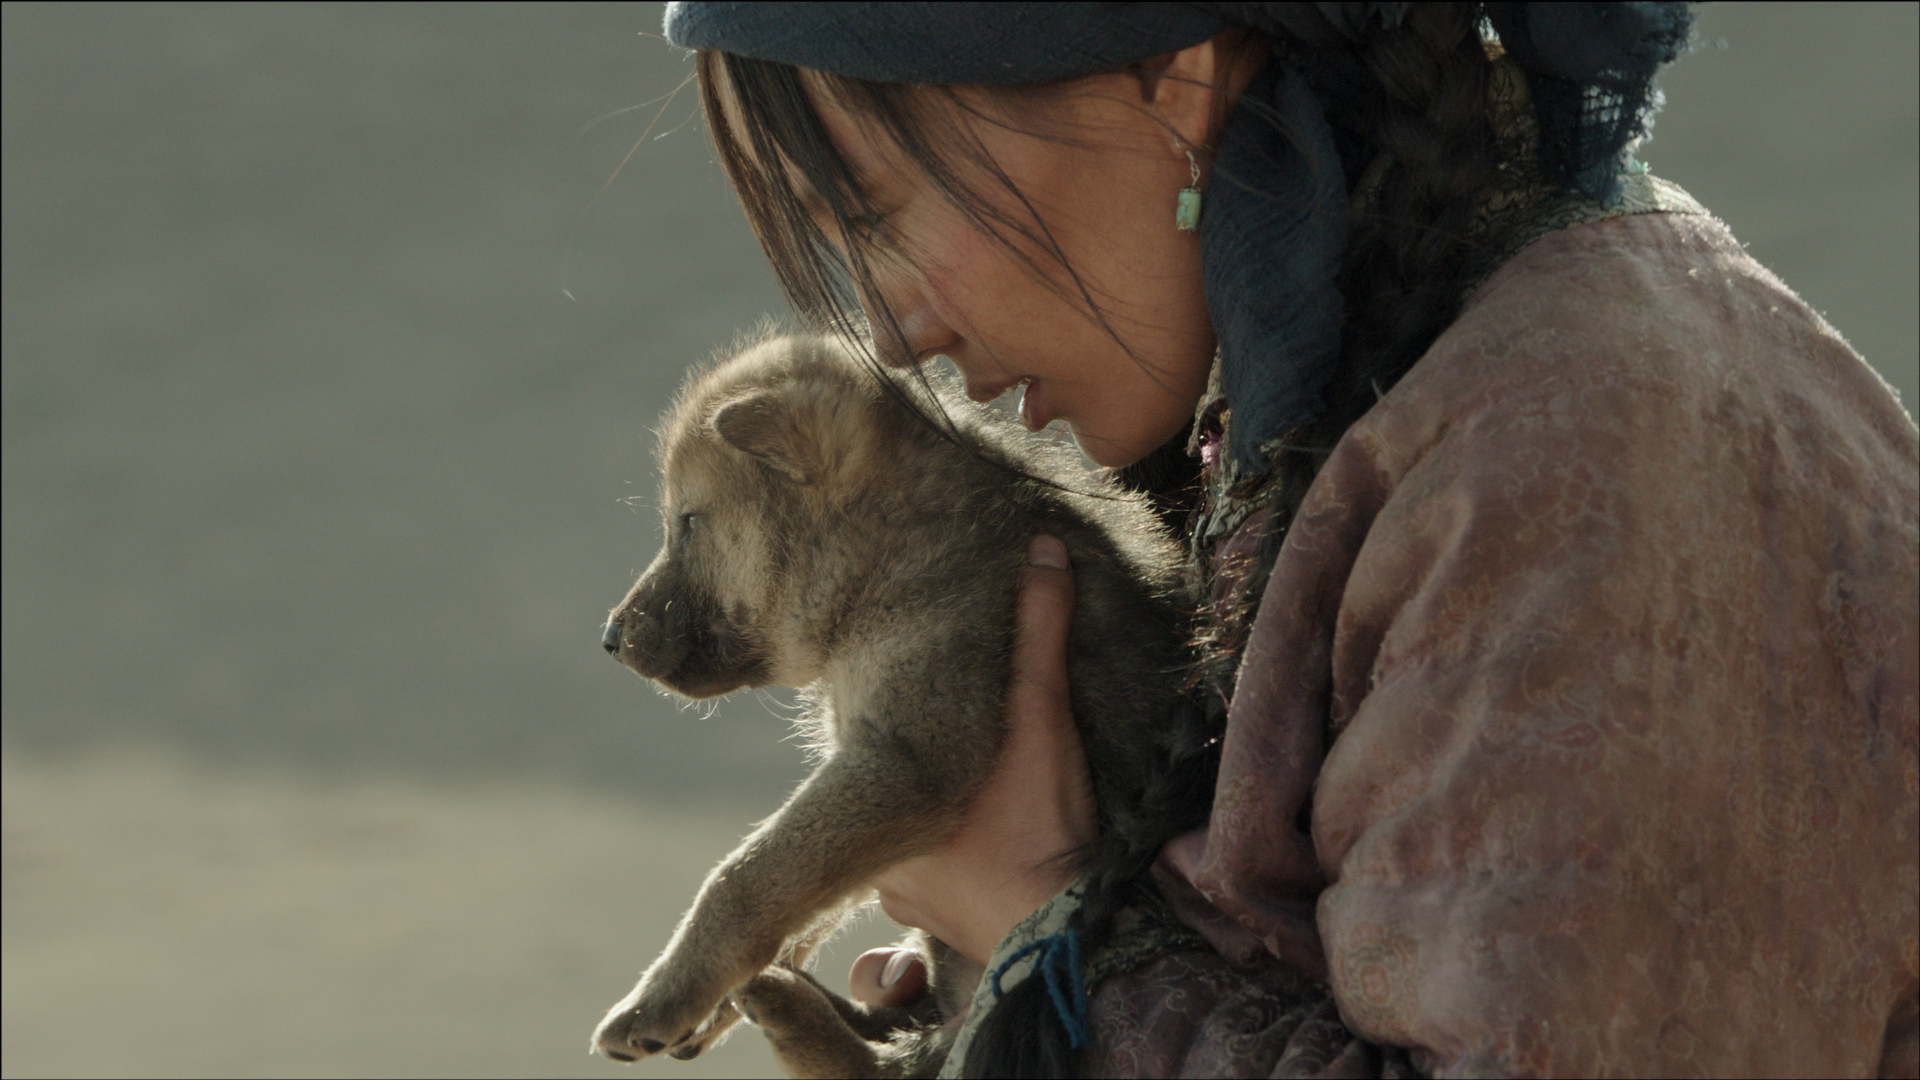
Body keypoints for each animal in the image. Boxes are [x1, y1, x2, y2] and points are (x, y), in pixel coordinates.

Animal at [590, 332, 1191, 1075]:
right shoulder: (867, 774)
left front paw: (663, 1001)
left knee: (895, 1062)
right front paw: (709, 1001)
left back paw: (790, 1012)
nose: (610, 639)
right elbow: (800, 892)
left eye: (689, 523)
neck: (885, 556)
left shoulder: (901, 762)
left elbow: (744, 878)